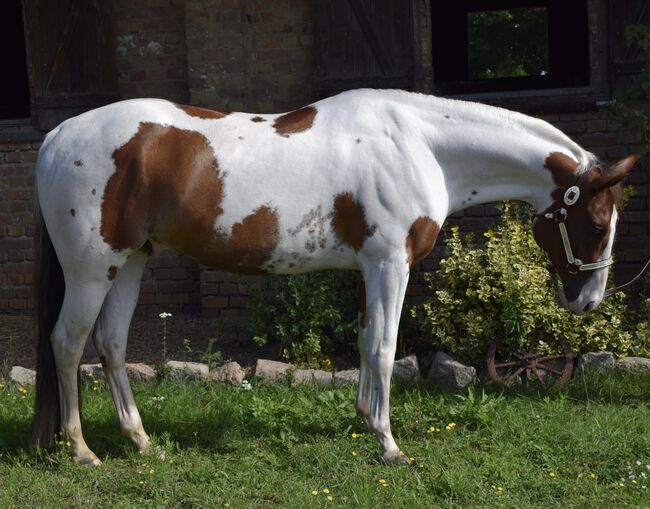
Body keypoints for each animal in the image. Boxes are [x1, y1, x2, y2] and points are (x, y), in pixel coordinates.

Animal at [33, 87, 636, 464]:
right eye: (597, 223)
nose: (587, 301)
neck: (420, 145)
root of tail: (57, 135)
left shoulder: (369, 267)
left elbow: (367, 342)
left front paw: (365, 420)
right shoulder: (391, 264)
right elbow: (387, 348)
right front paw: (390, 445)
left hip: (131, 262)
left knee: (111, 345)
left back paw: (141, 442)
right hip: (91, 270)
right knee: (68, 344)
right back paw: (82, 451)